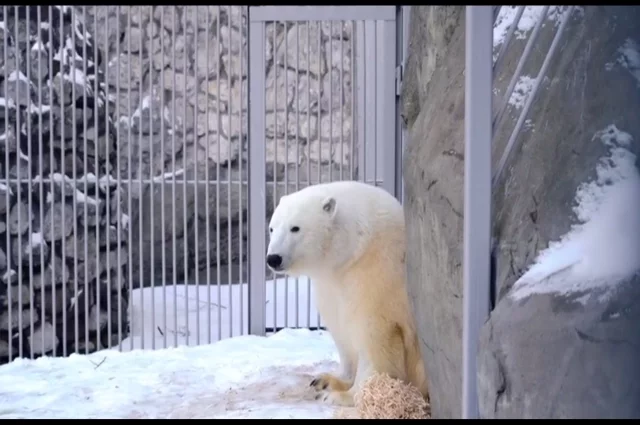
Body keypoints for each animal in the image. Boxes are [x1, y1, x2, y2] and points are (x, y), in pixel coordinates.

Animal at [264, 179, 430, 404]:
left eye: (295, 228)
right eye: (272, 228)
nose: (273, 258)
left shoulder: (377, 273)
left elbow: (374, 337)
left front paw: (344, 396)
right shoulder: (332, 282)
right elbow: (340, 327)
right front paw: (327, 381)